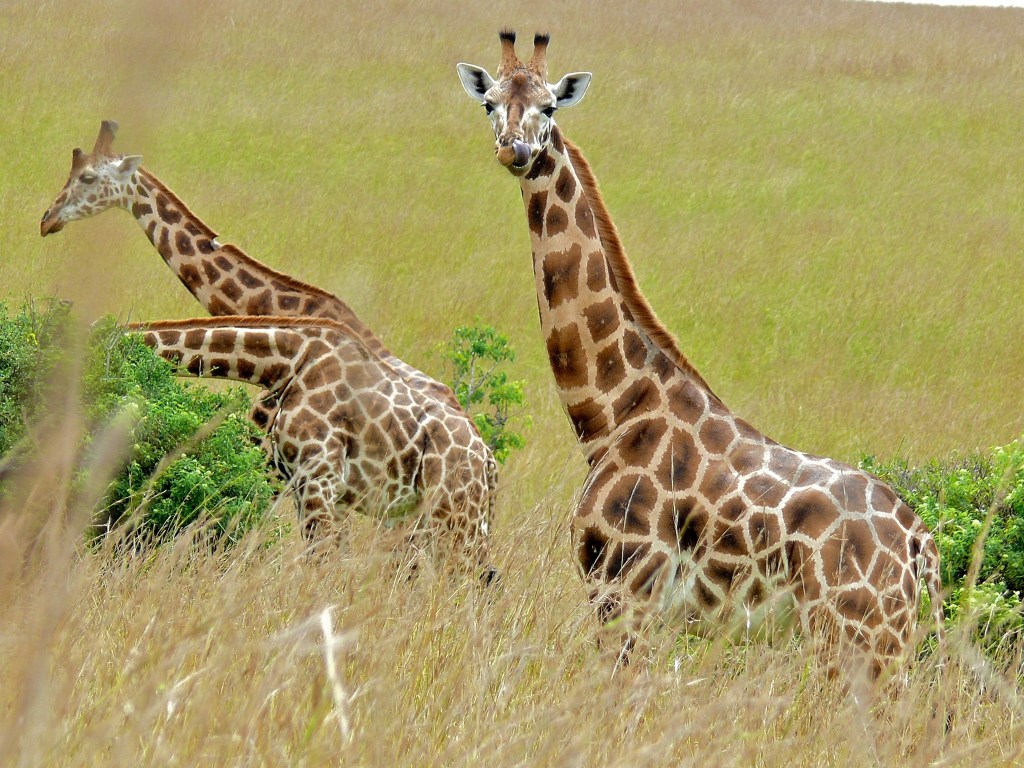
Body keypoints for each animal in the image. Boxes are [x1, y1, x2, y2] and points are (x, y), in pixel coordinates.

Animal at [127, 315, 496, 578]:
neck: (288, 362)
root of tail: (488, 461)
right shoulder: (305, 483)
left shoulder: (318, 477)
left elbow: (321, 562)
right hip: (427, 516)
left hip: (454, 514)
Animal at [457, 32, 944, 678]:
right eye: (490, 103)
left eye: (550, 107)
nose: (515, 150)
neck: (610, 414)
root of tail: (921, 546)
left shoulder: (623, 591)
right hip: (884, 639)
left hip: (860, 636)